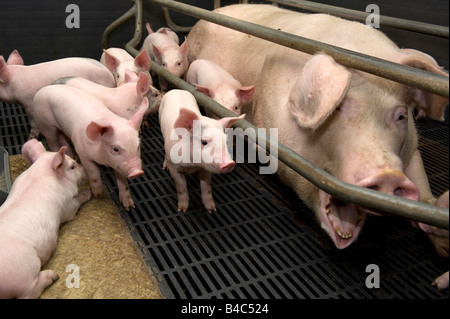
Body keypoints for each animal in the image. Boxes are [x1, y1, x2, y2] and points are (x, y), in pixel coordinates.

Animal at [0, 140, 90, 300]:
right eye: (72, 166)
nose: (85, 169)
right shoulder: (67, 207)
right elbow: (77, 202)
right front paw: (90, 192)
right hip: (25, 270)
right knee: (29, 293)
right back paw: (53, 276)